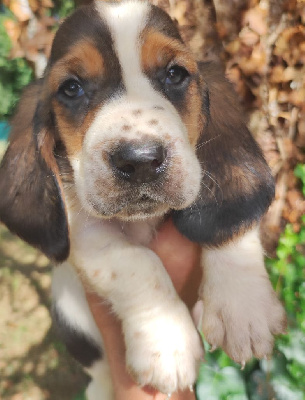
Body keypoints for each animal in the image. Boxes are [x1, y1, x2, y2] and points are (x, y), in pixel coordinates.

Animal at [0, 1, 284, 398]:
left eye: (175, 74)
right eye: (71, 88)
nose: (140, 160)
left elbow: (229, 227)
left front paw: (242, 307)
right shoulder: (85, 233)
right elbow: (137, 263)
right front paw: (167, 345)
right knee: (99, 374)